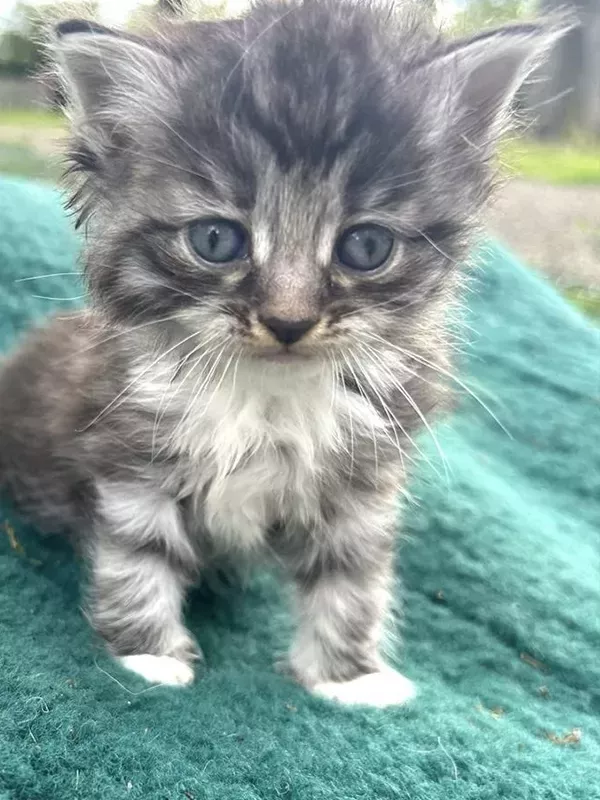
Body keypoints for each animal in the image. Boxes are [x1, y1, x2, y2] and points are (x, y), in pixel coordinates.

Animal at [0, 0, 564, 704]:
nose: (288, 322)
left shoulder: (363, 477)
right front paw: (148, 657)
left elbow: (351, 575)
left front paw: (347, 678)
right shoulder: (132, 449)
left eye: (366, 247)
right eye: (217, 240)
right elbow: (139, 553)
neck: (268, 394)